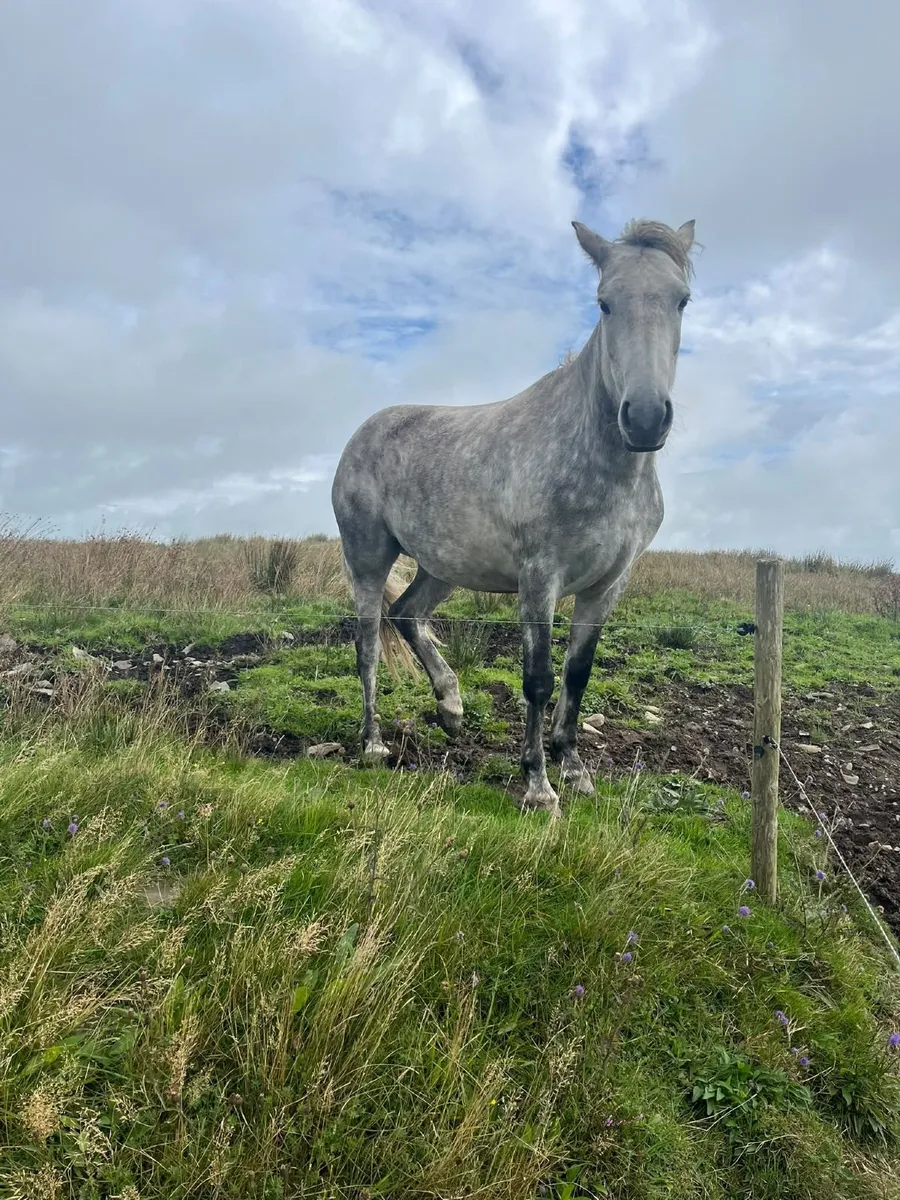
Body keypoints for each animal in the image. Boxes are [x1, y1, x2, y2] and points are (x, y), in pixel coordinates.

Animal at [332, 217, 696, 816]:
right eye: (604, 303)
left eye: (682, 299)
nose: (644, 419)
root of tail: (363, 431)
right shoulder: (539, 577)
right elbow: (539, 679)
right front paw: (539, 786)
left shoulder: (607, 584)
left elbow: (577, 674)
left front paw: (575, 771)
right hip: (368, 558)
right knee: (368, 646)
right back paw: (374, 743)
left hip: (442, 567)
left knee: (408, 615)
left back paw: (451, 709)